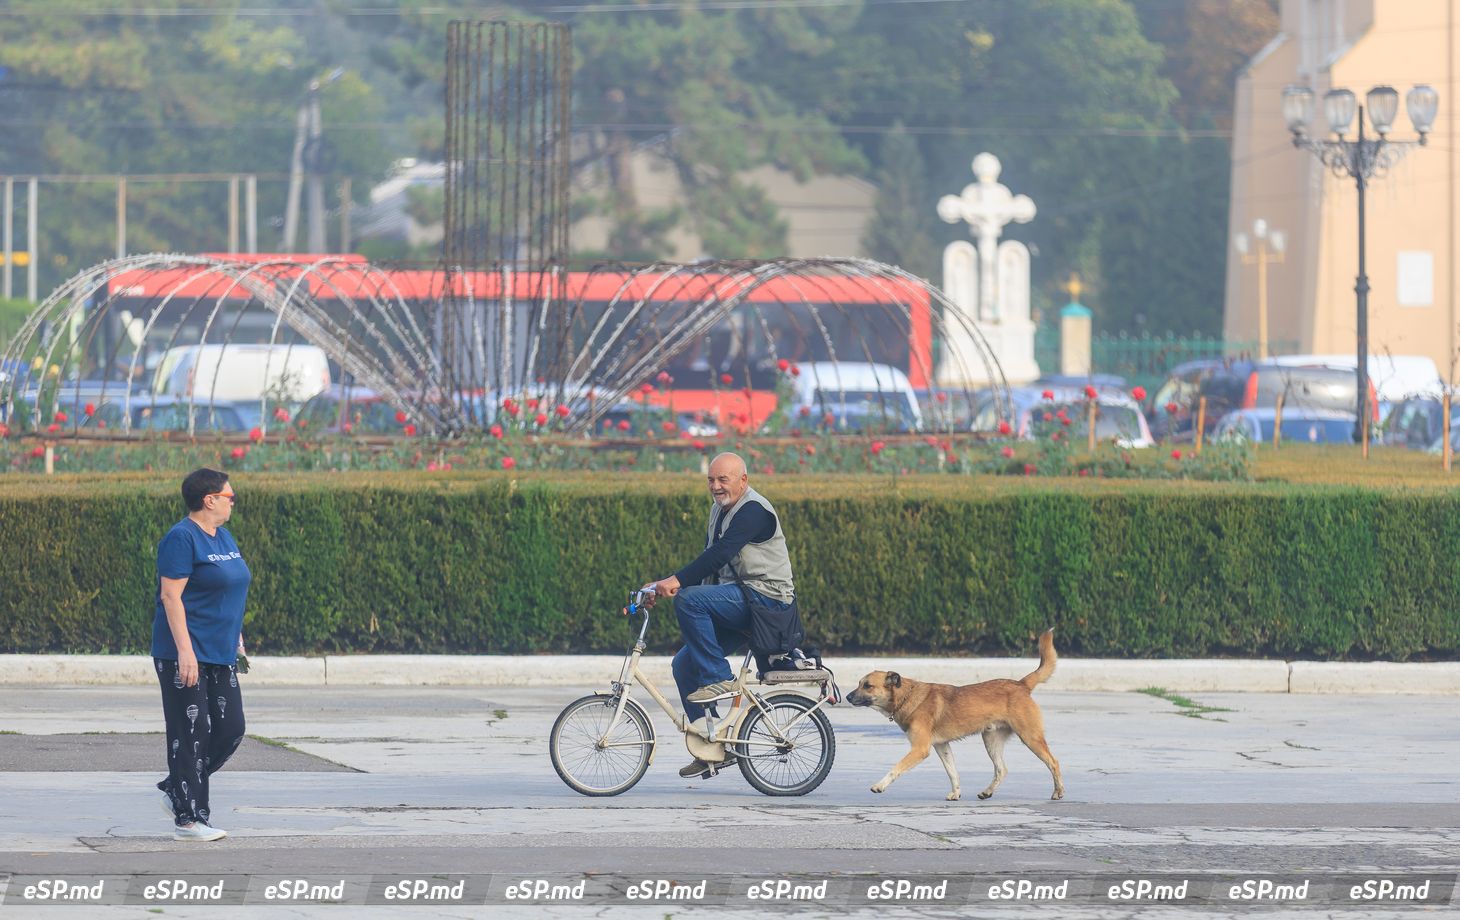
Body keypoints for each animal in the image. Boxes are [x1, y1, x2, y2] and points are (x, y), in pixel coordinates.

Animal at [846, 630, 1062, 806]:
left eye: (867, 686)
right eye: (859, 683)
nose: (847, 697)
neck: (906, 695)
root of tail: (1021, 684)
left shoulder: (920, 749)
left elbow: (895, 768)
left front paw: (880, 785)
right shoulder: (942, 746)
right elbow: (952, 772)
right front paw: (956, 793)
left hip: (1030, 737)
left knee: (1053, 762)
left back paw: (1058, 792)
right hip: (991, 739)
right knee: (1002, 769)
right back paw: (987, 792)